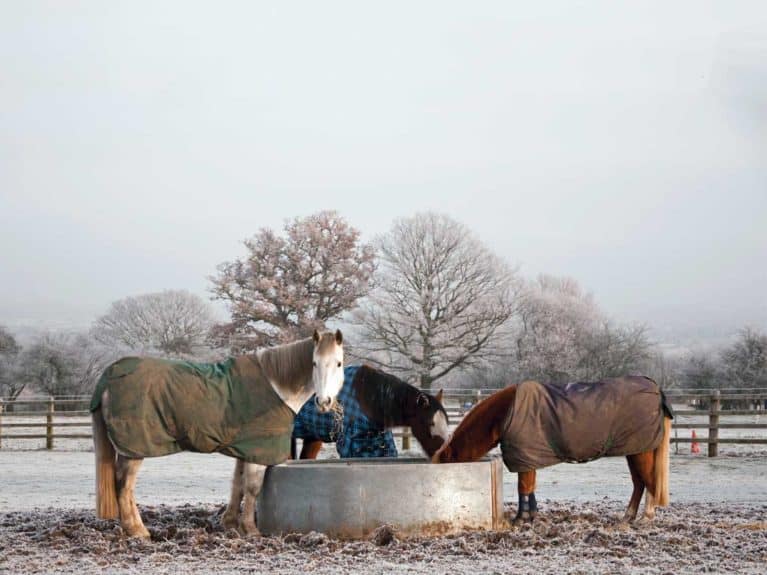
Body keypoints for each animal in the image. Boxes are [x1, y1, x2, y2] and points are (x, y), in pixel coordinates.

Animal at [91, 330, 344, 536]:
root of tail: (111, 374)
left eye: (339, 363)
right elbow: (252, 488)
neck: (277, 386)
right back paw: (137, 530)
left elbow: (237, 485)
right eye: (314, 363)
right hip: (134, 448)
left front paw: (231, 523)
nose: (324, 402)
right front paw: (251, 530)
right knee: (124, 486)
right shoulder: (259, 451)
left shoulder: (246, 449)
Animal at [436, 378, 676, 528]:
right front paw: (530, 516)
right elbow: (530, 487)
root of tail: (655, 390)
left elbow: (523, 487)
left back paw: (646, 517)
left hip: (640, 451)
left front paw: (520, 519)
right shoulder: (529, 458)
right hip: (634, 450)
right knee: (639, 483)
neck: (507, 413)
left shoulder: (524, 457)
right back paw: (628, 517)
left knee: (649, 481)